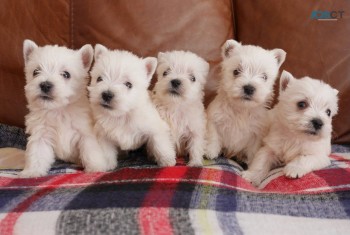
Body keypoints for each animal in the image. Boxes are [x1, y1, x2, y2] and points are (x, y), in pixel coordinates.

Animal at [19, 40, 109, 177]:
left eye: (66, 74)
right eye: (35, 72)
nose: (45, 85)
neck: (59, 110)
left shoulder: (85, 134)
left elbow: (91, 152)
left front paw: (96, 168)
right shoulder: (41, 135)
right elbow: (37, 154)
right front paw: (32, 172)